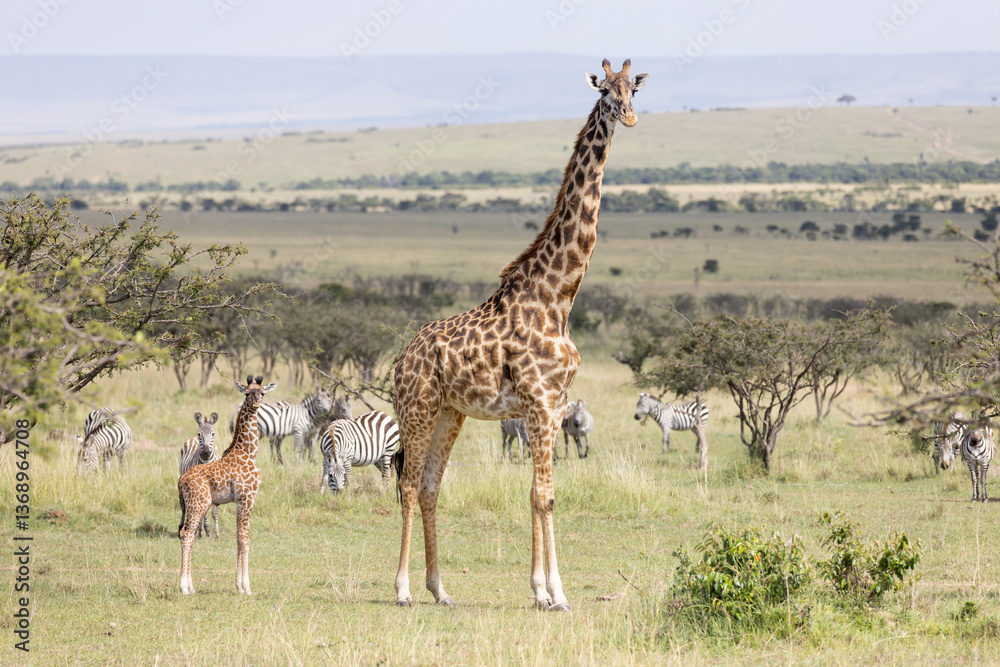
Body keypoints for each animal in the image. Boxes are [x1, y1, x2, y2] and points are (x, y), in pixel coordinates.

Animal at [177, 374, 276, 595]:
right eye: (247, 393)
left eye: (262, 392)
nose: (256, 403)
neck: (249, 453)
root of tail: (180, 481)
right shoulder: (247, 498)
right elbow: (245, 538)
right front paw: (246, 587)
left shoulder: (240, 501)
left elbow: (239, 538)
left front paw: (239, 586)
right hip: (198, 504)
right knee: (187, 534)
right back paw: (184, 588)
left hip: (193, 506)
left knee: (187, 534)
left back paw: (191, 587)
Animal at [392, 59, 648, 611]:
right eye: (605, 92)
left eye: (633, 90)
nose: (629, 117)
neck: (558, 299)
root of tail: (401, 358)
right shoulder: (538, 401)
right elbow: (540, 495)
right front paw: (550, 593)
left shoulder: (555, 404)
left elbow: (545, 494)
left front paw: (549, 592)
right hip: (417, 408)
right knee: (407, 483)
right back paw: (401, 589)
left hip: (451, 412)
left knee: (430, 486)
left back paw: (440, 588)